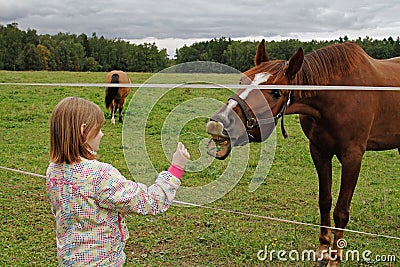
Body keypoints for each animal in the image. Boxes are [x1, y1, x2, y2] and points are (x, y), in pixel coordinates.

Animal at [206, 40, 400, 266]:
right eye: (242, 79)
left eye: (276, 92)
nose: (218, 123)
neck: (339, 95)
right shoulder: (319, 151)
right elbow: (325, 201)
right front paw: (323, 249)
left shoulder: (352, 156)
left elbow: (341, 211)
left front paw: (335, 257)